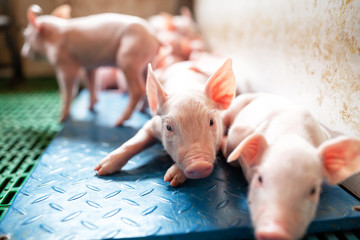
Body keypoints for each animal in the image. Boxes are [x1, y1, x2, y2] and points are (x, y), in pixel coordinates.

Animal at [20, 4, 159, 125]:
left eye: (26, 36)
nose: (23, 53)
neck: (53, 39)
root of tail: (155, 38)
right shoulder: (89, 66)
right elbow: (91, 83)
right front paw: (91, 108)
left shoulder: (66, 65)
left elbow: (69, 91)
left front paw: (61, 119)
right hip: (147, 63)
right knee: (147, 84)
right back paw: (140, 110)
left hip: (128, 59)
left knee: (137, 89)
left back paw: (119, 122)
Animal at [95, 59, 236, 187]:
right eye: (168, 127)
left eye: (211, 122)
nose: (199, 165)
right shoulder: (151, 125)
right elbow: (133, 143)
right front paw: (99, 170)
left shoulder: (219, 135)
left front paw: (170, 179)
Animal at [221, 93, 360, 239]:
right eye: (260, 178)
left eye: (313, 190)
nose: (275, 232)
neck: (291, 137)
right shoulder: (238, 133)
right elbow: (230, 154)